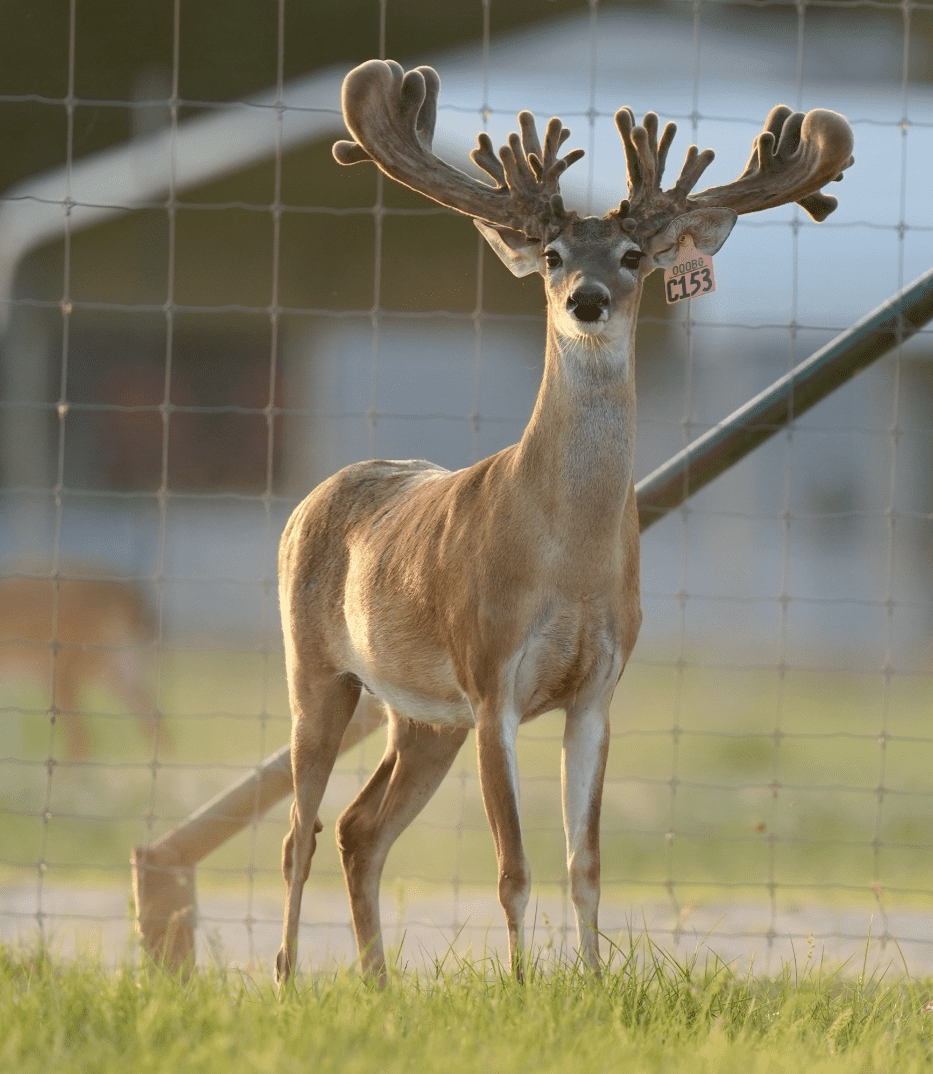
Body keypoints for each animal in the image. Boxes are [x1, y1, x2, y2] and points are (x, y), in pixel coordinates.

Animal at [275, 58, 853, 986]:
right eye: (550, 254)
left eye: (631, 256)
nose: (585, 299)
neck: (570, 558)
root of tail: (319, 491)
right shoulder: (491, 680)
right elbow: (512, 866)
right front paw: (520, 985)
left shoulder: (595, 693)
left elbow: (585, 864)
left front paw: (590, 981)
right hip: (317, 668)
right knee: (300, 831)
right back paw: (289, 976)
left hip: (422, 715)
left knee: (360, 830)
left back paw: (377, 983)